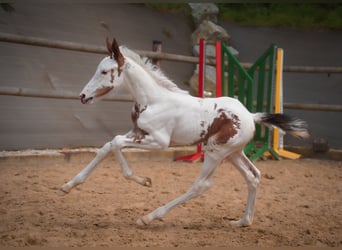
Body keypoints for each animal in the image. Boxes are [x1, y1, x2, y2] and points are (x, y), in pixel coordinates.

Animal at [59, 38, 310, 228]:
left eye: (104, 71)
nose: (83, 96)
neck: (154, 100)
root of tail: (251, 115)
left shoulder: (159, 141)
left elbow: (117, 143)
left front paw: (144, 181)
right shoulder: (137, 131)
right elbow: (109, 145)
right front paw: (68, 186)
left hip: (215, 152)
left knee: (200, 186)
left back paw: (150, 217)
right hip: (233, 154)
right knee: (253, 176)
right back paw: (242, 222)